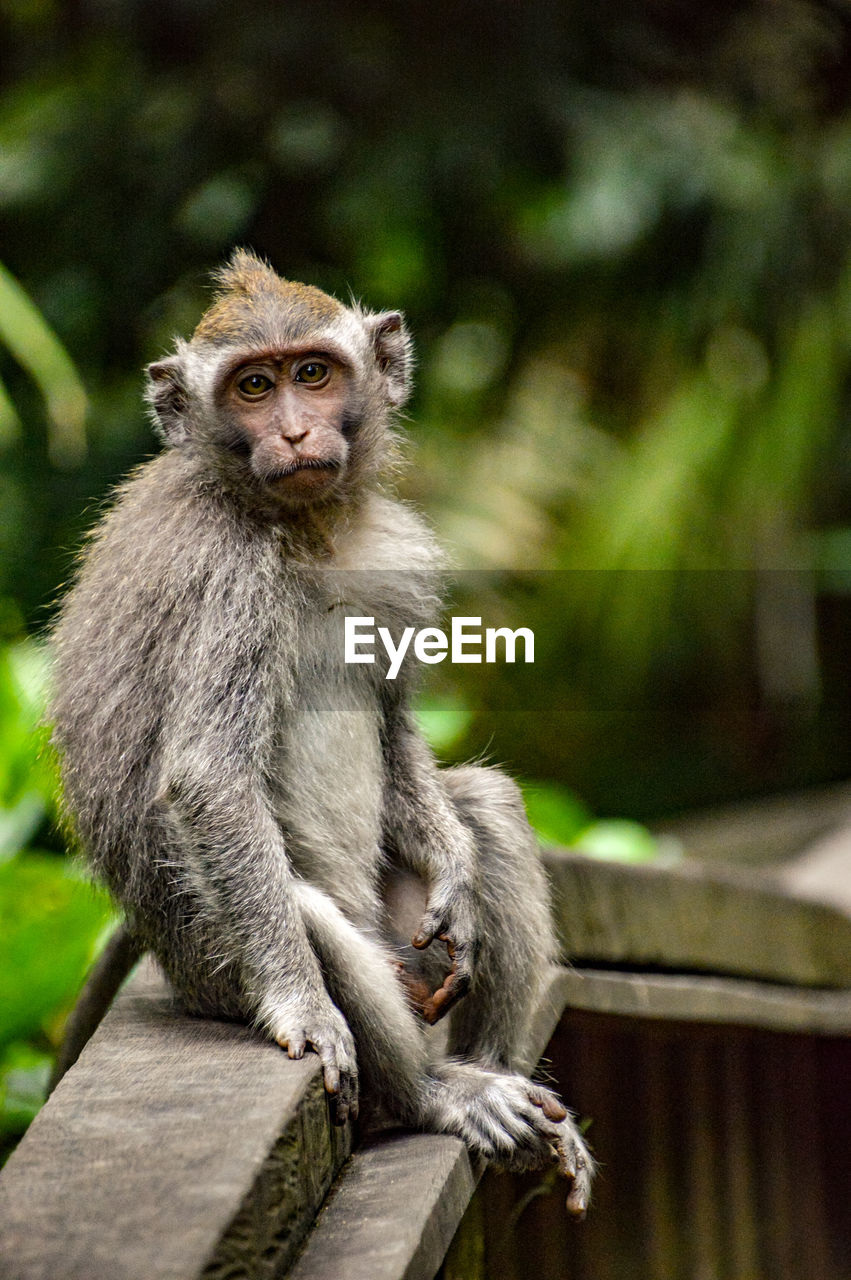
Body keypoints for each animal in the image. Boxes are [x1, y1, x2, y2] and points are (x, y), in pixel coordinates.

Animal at [46, 249, 591, 1218]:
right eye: (253, 387)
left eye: (311, 374)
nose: (296, 433)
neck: (304, 526)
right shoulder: (227, 577)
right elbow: (206, 778)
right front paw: (304, 1009)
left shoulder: (397, 556)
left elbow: (395, 720)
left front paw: (454, 867)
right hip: (218, 973)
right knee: (305, 913)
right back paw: (432, 1096)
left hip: (412, 949)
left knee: (488, 802)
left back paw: (497, 1073)